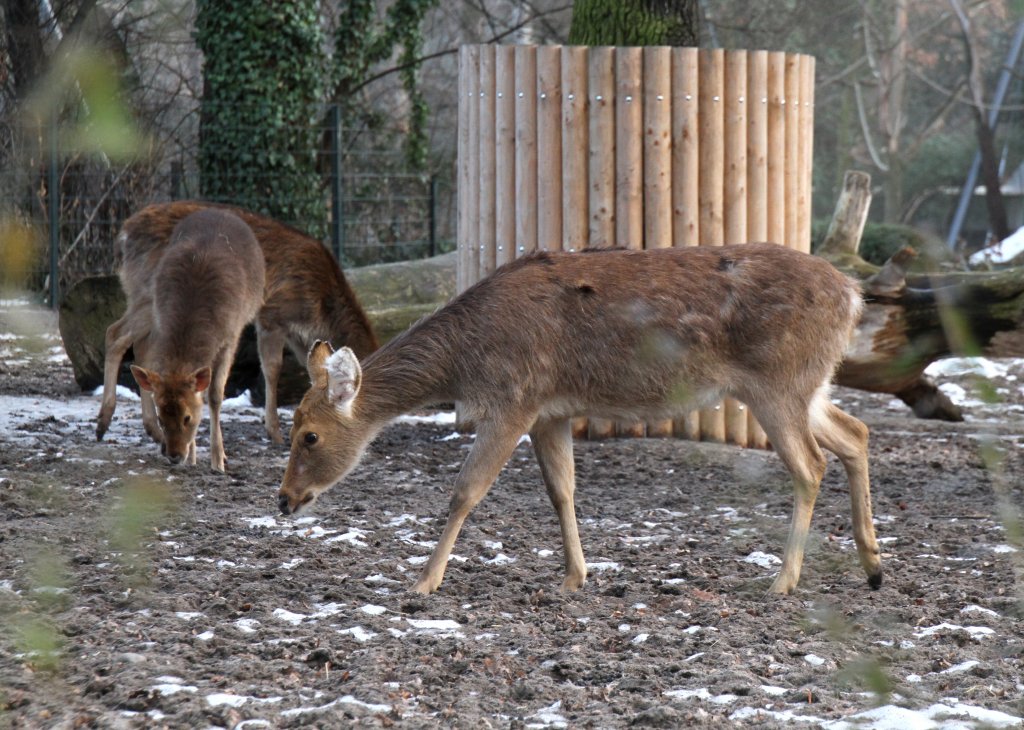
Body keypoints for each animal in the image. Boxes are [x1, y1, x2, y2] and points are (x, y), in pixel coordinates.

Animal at [96, 201, 380, 446]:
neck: (320, 305)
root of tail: (124, 234)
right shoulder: (272, 314)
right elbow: (272, 368)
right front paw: (275, 433)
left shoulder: (298, 336)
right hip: (149, 293)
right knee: (114, 333)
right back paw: (103, 422)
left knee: (140, 346)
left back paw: (152, 429)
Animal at [125, 208, 264, 473]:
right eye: (161, 417)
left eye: (187, 417)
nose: (174, 455)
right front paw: (192, 457)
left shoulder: (230, 337)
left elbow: (215, 395)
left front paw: (218, 461)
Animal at [276, 241, 884, 593]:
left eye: (308, 436)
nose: (283, 500)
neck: (466, 361)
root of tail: (854, 294)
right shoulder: (552, 410)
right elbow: (562, 489)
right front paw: (575, 576)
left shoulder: (514, 398)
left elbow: (466, 491)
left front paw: (423, 582)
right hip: (807, 385)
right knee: (855, 433)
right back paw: (873, 566)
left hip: (778, 382)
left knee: (810, 464)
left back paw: (784, 581)